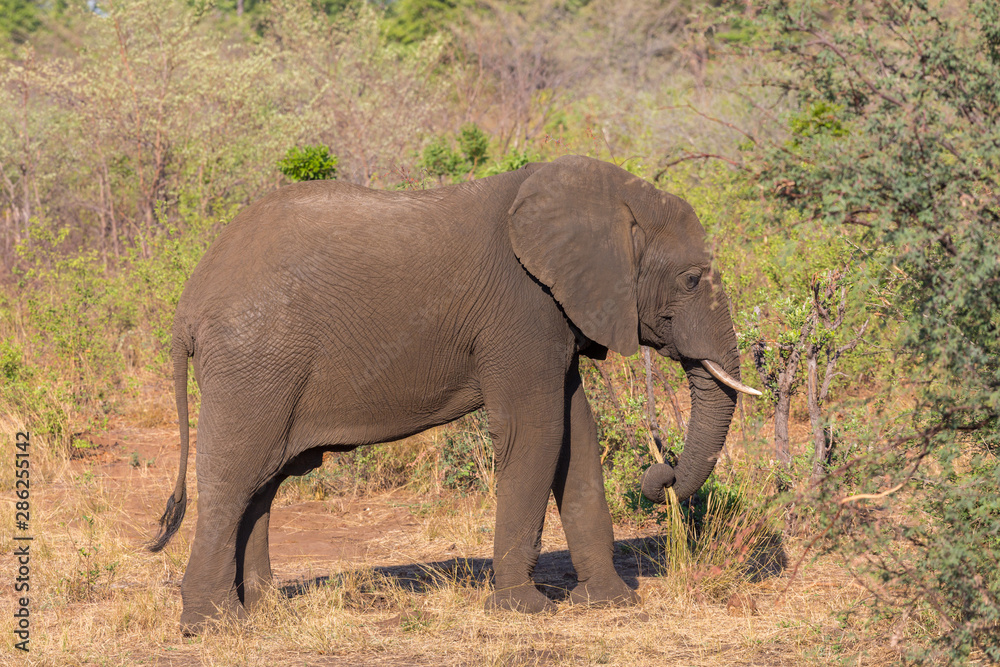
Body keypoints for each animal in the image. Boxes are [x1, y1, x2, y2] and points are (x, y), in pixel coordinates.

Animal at [148, 154, 756, 636]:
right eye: (692, 280)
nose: (661, 476)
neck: (604, 199)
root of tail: (187, 304)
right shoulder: (521, 309)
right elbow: (537, 431)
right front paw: (524, 611)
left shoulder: (556, 314)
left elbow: (578, 435)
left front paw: (608, 603)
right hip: (254, 360)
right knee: (234, 475)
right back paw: (214, 627)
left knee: (263, 482)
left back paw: (267, 612)